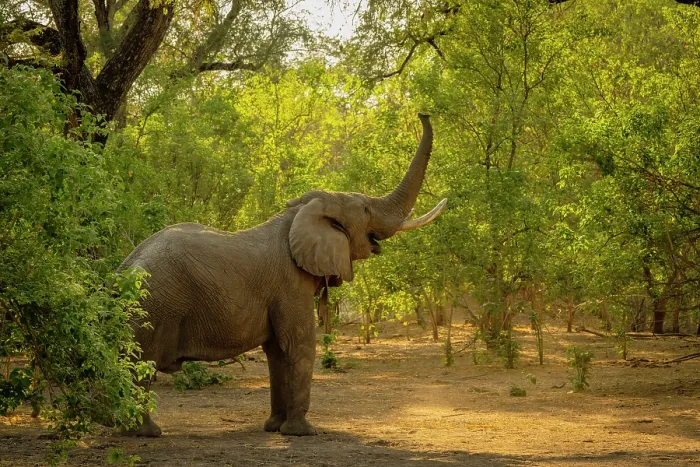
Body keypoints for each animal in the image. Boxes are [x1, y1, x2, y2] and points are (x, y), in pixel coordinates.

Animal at [119, 114, 446, 437]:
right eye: (365, 209)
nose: (423, 113)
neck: (300, 212)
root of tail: (125, 268)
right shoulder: (290, 284)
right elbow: (299, 344)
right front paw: (302, 433)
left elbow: (277, 351)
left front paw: (275, 427)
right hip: (155, 305)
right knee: (140, 364)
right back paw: (145, 432)